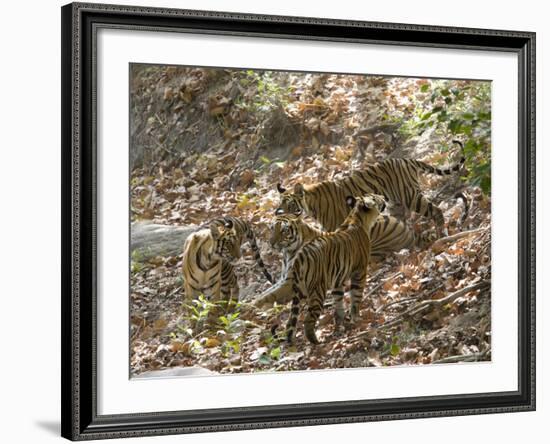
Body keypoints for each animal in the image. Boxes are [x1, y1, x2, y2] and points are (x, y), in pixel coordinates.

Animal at [266, 193, 386, 344]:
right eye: (375, 197)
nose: (383, 196)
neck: (357, 217)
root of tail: (299, 257)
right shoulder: (360, 271)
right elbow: (356, 296)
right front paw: (356, 318)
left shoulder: (338, 279)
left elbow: (339, 301)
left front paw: (341, 321)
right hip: (317, 290)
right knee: (308, 319)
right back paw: (315, 341)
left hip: (300, 290)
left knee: (290, 322)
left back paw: (290, 340)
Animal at [276, 141, 466, 232]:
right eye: (280, 207)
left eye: (291, 206)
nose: (282, 216)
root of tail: (406, 160)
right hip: (395, 203)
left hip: (410, 196)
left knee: (436, 211)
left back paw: (442, 233)